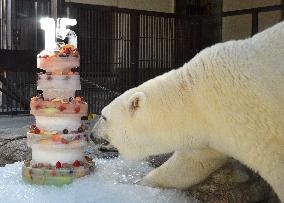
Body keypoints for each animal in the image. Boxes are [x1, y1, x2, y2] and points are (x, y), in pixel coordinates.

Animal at [95, 21, 284, 201]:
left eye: (104, 116)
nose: (91, 134)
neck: (195, 96)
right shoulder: (208, 131)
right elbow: (190, 163)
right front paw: (138, 182)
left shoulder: (251, 122)